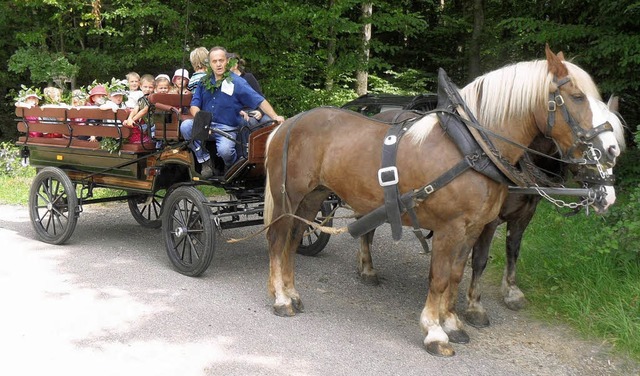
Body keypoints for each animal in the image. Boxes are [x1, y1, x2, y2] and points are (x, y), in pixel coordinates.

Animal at [262, 45, 620, 356]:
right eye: (576, 97)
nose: (611, 151)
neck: (471, 148)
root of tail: (287, 124)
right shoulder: (450, 228)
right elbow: (440, 277)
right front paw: (434, 332)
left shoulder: (472, 229)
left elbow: (458, 274)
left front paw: (453, 323)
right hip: (288, 198)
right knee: (278, 240)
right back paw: (281, 300)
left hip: (312, 199)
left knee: (293, 240)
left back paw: (292, 293)